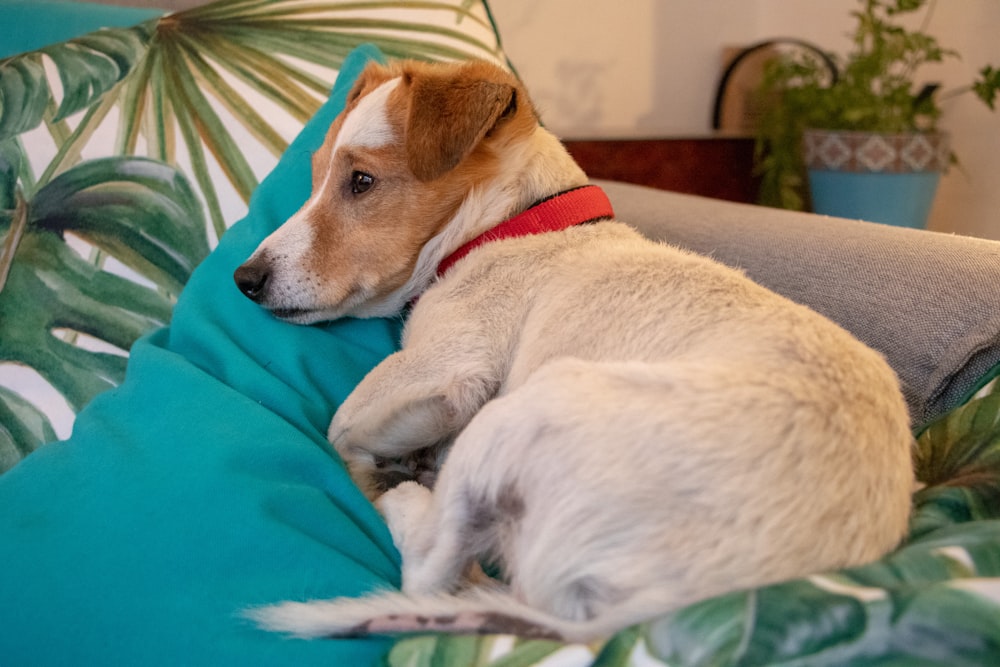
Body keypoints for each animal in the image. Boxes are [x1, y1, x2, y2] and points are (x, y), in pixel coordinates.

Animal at [232, 60, 916, 644]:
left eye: (362, 181)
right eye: (316, 176)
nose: (244, 279)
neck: (509, 225)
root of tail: (664, 604)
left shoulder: (449, 364)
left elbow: (340, 426)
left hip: (521, 411)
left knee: (429, 570)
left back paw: (409, 497)